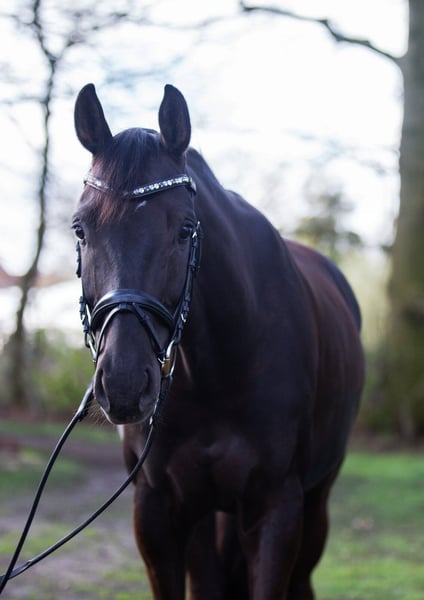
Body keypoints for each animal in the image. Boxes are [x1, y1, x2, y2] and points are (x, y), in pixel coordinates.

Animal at [73, 83, 364, 600]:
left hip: (316, 502)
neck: (216, 372)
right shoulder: (156, 508)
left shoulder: (276, 507)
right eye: (81, 229)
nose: (124, 383)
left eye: (185, 229)